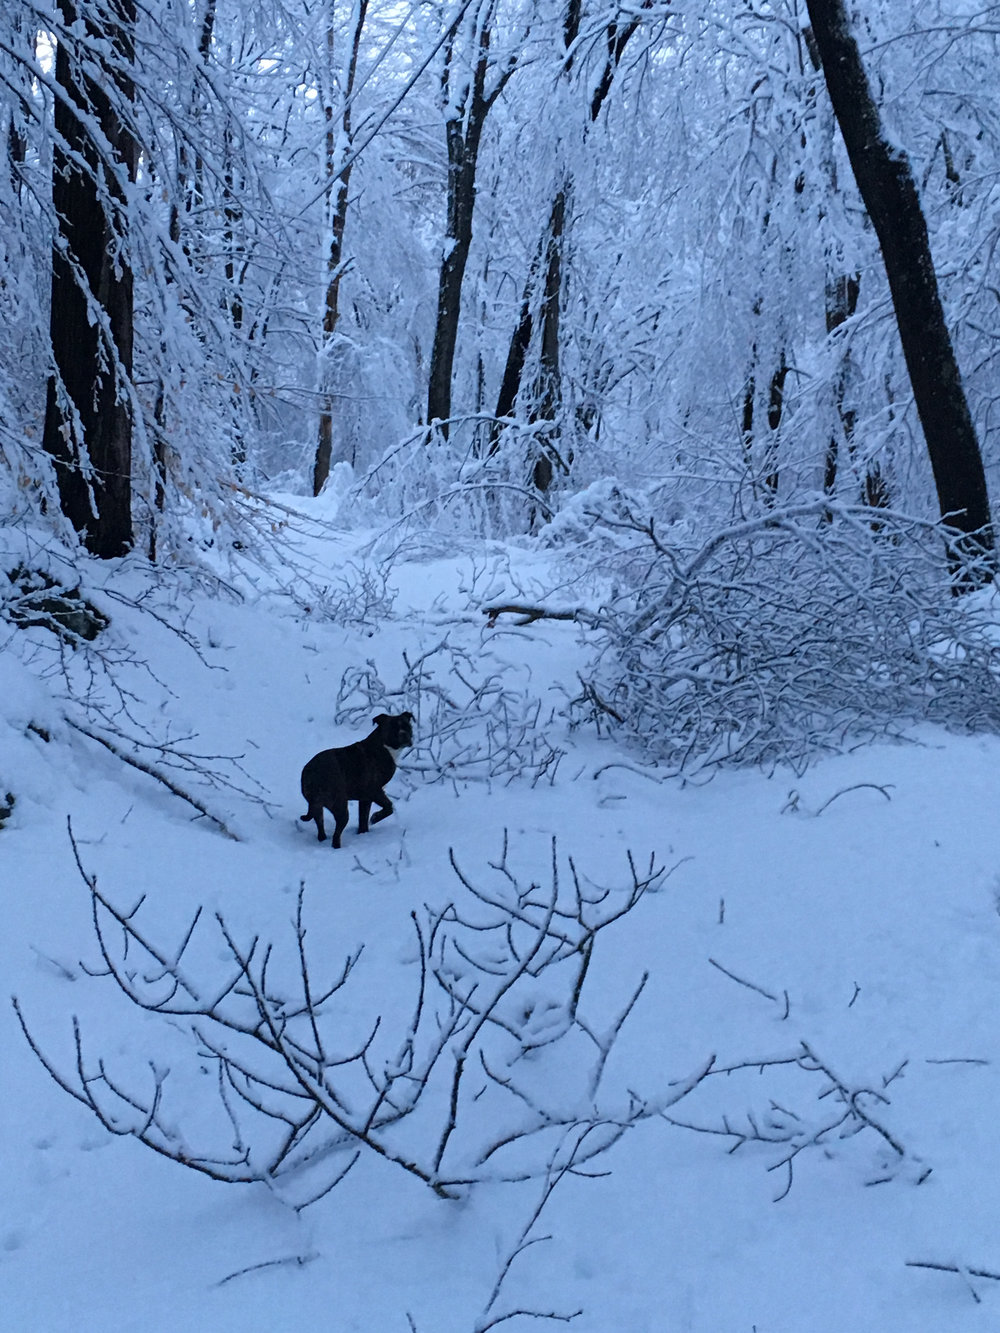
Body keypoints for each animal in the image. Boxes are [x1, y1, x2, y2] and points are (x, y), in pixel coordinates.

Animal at [300, 714, 413, 847]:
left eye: (408, 726)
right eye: (393, 727)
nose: (404, 734)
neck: (384, 746)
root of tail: (312, 775)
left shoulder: (365, 798)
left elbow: (363, 819)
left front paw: (363, 834)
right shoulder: (374, 791)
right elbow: (389, 807)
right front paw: (375, 818)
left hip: (317, 807)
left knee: (320, 826)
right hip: (340, 806)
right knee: (336, 835)